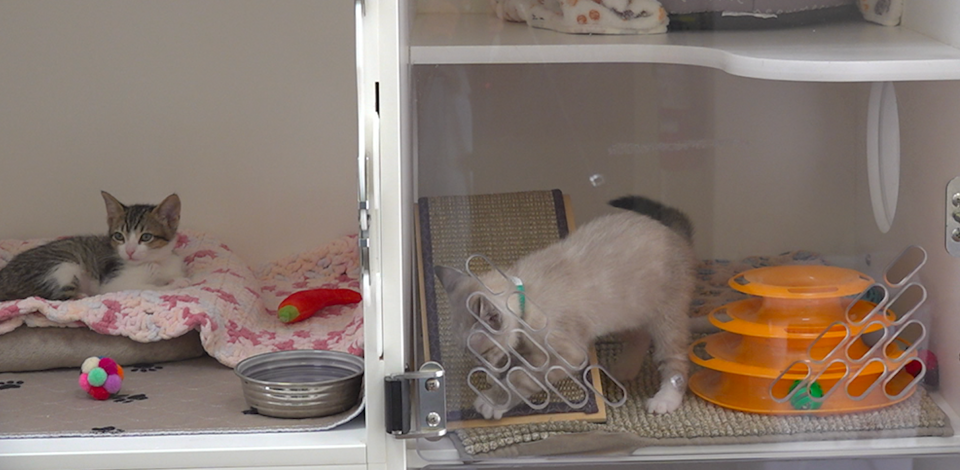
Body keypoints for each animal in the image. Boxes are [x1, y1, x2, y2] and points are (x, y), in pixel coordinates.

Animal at [0, 193, 185, 302]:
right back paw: (82, 295)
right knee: (56, 297)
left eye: (146, 237)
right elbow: (146, 287)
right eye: (119, 236)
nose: (129, 251)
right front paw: (174, 284)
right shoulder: (112, 284)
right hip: (62, 265)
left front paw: (175, 279)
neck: (158, 260)